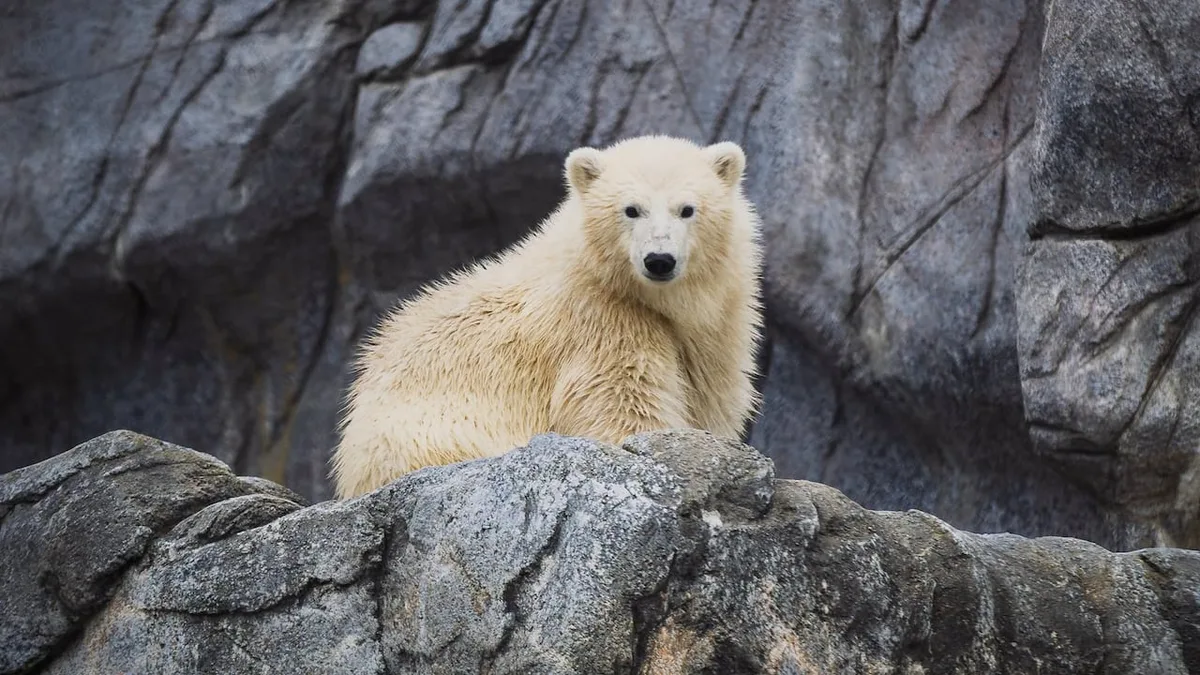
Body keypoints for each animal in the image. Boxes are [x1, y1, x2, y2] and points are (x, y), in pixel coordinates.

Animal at [330, 135, 764, 499]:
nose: (659, 260)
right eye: (631, 210)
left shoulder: (721, 322)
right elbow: (620, 407)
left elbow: (709, 391)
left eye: (687, 209)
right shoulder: (600, 321)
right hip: (425, 431)